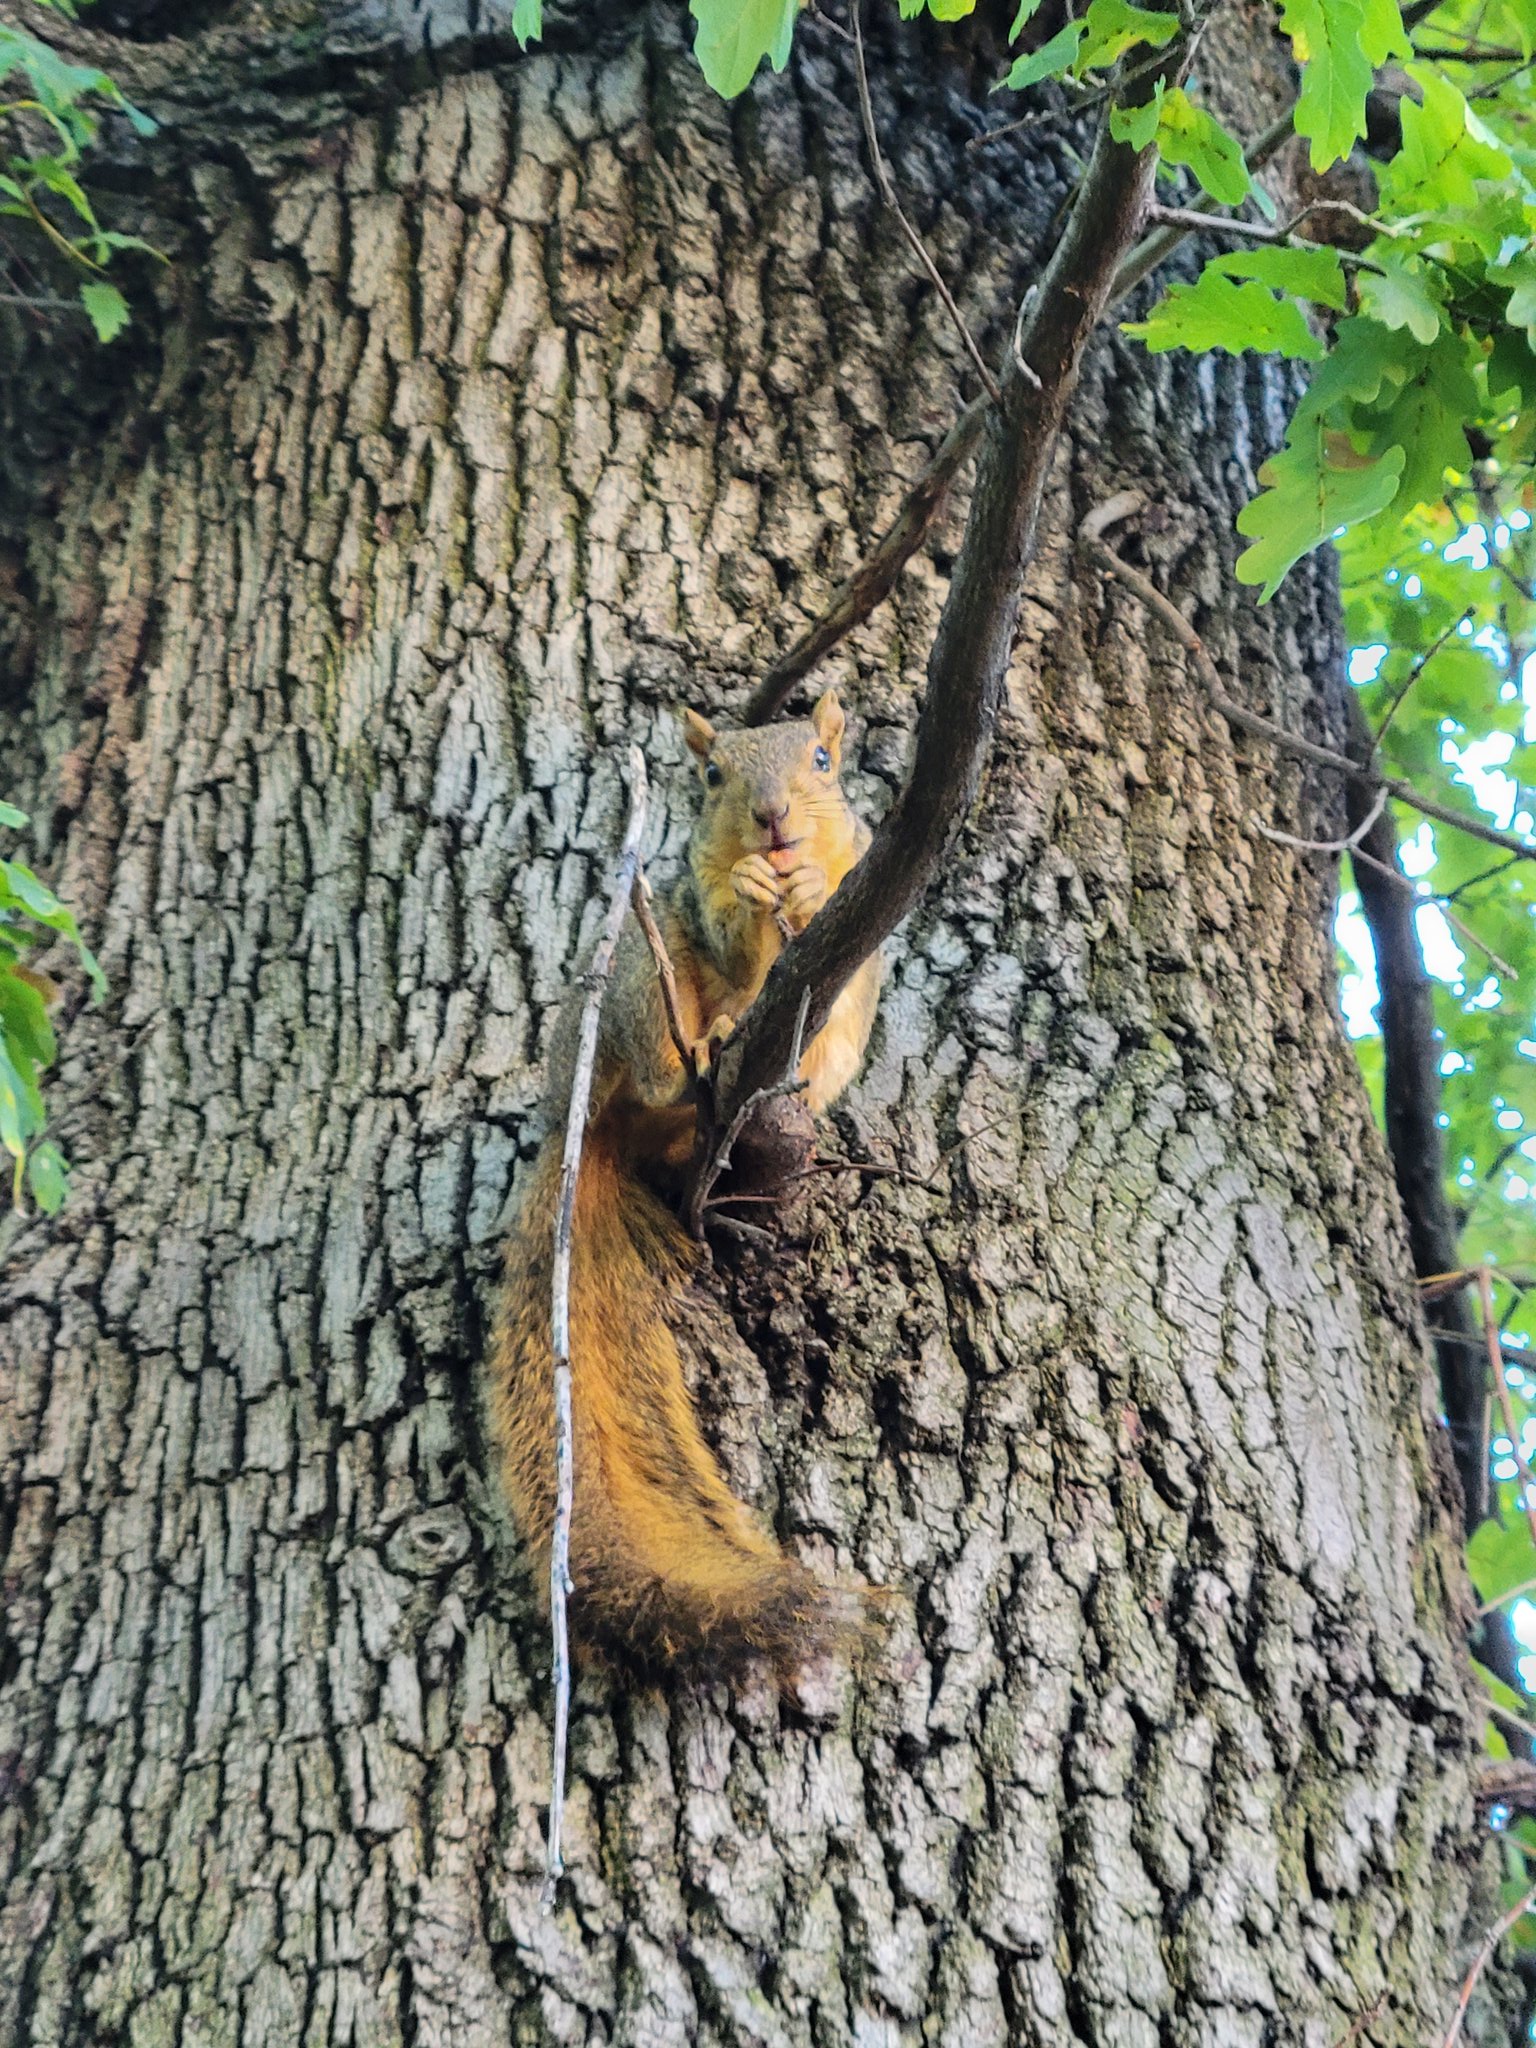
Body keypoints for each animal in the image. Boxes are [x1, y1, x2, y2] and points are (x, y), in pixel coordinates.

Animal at [491, 691, 882, 1678]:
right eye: (710, 776)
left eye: (822, 760)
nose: (772, 819)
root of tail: (584, 1133)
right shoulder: (695, 904)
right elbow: (726, 932)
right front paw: (750, 889)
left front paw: (806, 886)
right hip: (637, 970)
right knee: (662, 1038)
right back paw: (694, 1060)